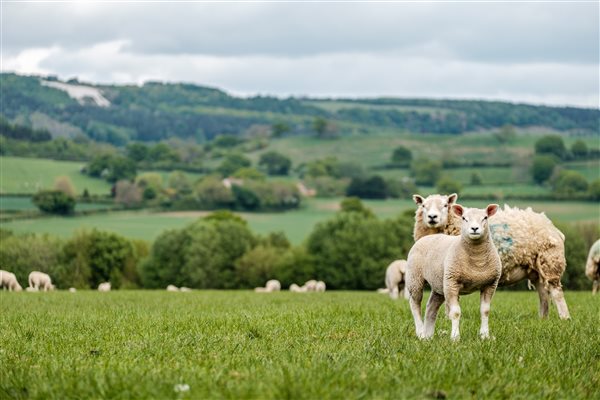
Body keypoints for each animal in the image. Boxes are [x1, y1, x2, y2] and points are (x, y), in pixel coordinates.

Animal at [408, 203, 502, 340]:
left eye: (485, 218)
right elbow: (456, 312)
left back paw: (428, 336)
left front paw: (485, 336)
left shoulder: (490, 284)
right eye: (464, 218)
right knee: (415, 304)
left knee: (431, 307)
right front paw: (455, 337)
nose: (474, 228)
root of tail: (426, 237)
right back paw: (421, 333)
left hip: (440, 284)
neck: (477, 261)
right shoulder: (452, 283)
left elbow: (485, 311)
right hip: (415, 278)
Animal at [412, 192, 572, 320]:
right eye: (423, 205)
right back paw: (543, 319)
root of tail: (551, 225)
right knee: (543, 293)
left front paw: (447, 318)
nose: (432, 217)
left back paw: (564, 318)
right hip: (535, 269)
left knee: (556, 292)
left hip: (550, 262)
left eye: (445, 205)